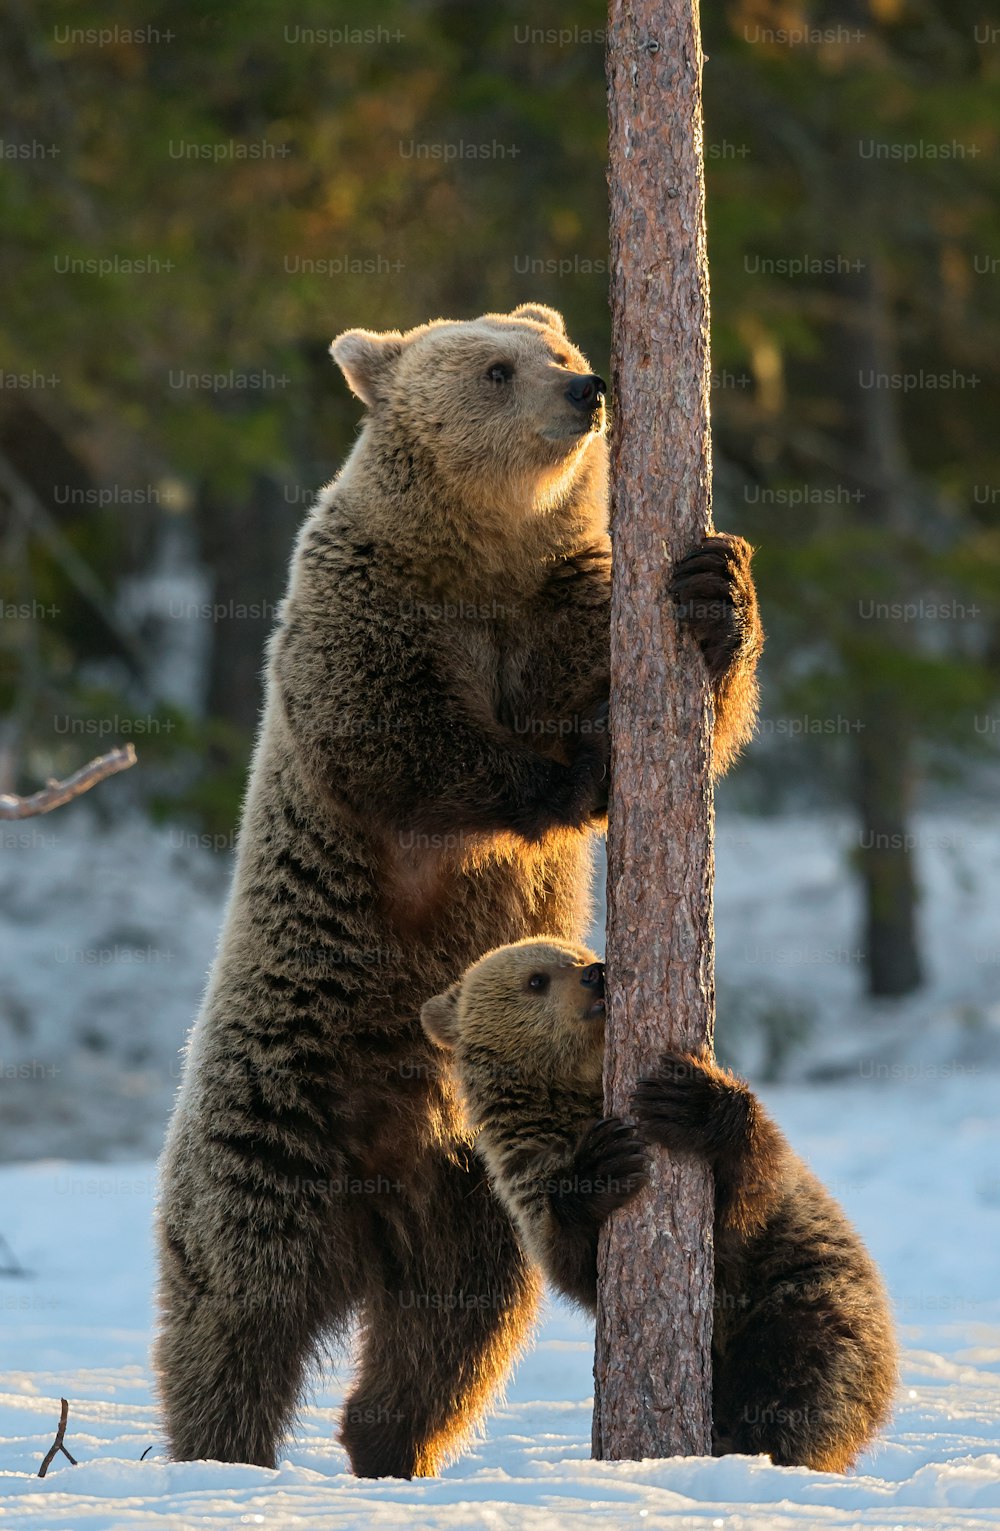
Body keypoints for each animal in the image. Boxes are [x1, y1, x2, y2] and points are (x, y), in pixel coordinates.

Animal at [153, 298, 765, 1469]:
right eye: (494, 369)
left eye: (560, 350)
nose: (585, 390)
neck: (482, 556)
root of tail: (377, 1193)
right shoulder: (364, 605)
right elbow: (394, 741)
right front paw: (562, 773)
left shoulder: (572, 605)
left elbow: (689, 714)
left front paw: (714, 593)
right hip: (276, 1114)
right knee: (238, 1303)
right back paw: (220, 1450)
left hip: (473, 1193)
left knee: (457, 1329)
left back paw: (387, 1440)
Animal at [422, 930, 894, 1469]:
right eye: (536, 979)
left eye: (579, 955)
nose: (595, 973)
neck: (573, 1095)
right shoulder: (528, 1182)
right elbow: (574, 1256)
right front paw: (603, 1165)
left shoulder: (765, 1217)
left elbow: (748, 1194)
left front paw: (687, 1103)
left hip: (803, 1290)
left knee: (795, 1370)